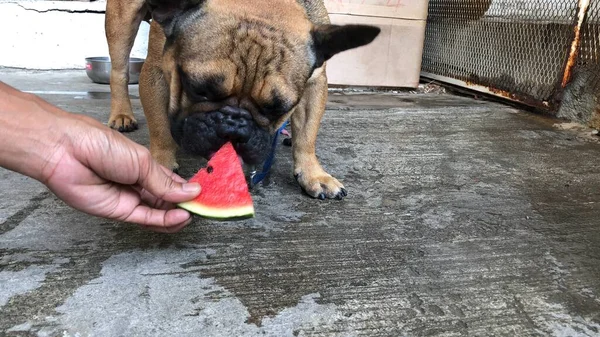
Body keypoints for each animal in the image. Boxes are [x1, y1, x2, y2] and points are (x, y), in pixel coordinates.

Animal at [104, 0, 380, 198]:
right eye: (198, 89)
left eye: (278, 108)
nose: (233, 126)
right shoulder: (157, 71)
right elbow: (160, 128)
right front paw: (159, 166)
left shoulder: (315, 82)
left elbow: (308, 135)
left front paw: (313, 175)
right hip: (122, 21)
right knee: (119, 71)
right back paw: (121, 114)